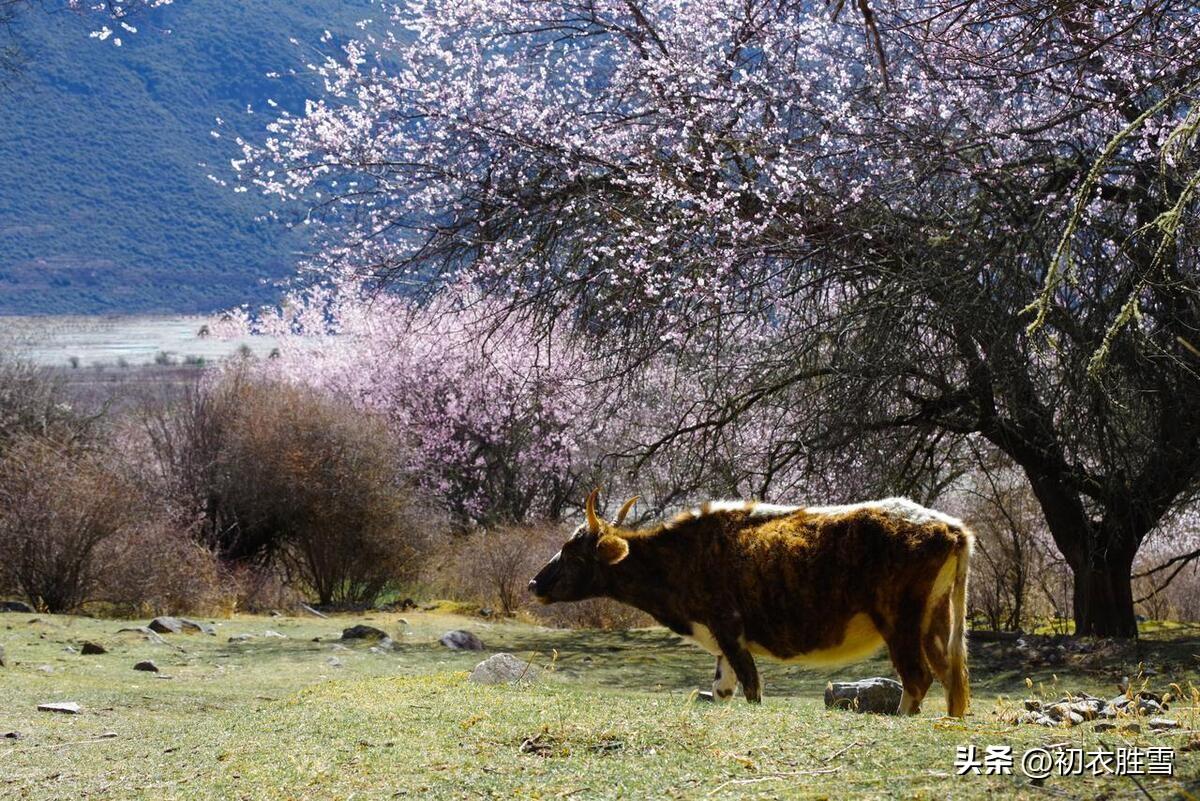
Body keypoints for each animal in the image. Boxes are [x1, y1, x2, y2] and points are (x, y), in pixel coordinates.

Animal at [532, 491, 974, 714]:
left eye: (573, 555)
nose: (534, 583)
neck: (682, 553)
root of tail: (948, 525)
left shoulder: (729, 629)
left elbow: (752, 688)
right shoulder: (722, 644)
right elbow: (723, 690)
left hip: (901, 623)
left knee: (917, 678)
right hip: (936, 624)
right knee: (950, 680)